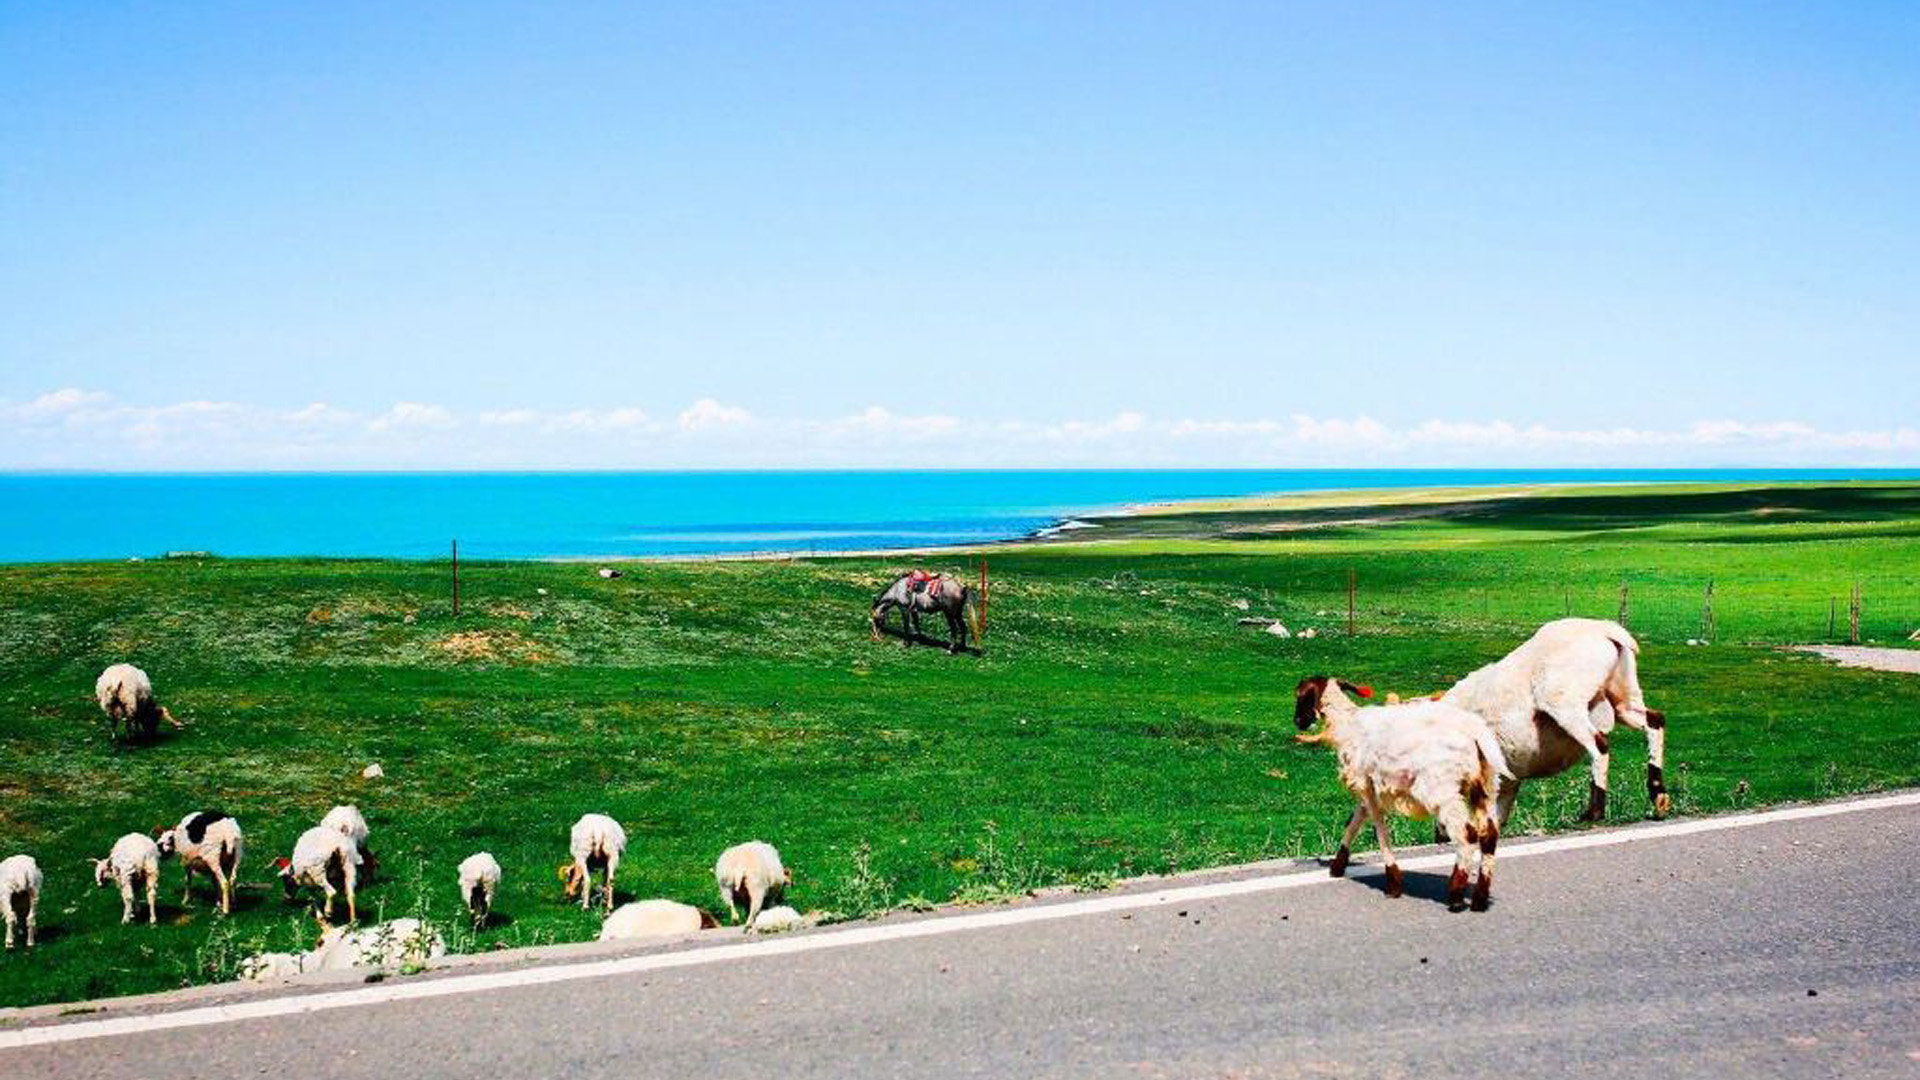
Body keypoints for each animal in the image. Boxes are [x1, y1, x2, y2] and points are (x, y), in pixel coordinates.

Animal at [1297, 672, 1505, 907]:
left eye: (1300, 696)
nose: (1298, 722)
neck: (1346, 724)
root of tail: (1474, 736)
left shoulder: (1366, 785)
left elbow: (1379, 829)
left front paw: (1393, 883)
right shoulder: (1368, 788)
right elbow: (1354, 822)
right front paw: (1337, 866)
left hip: (1443, 790)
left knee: (1467, 834)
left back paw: (1456, 895)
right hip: (1486, 786)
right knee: (1489, 835)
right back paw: (1479, 898)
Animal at [1443, 614, 1666, 822]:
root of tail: (1606, 630)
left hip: (1565, 701)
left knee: (1599, 744)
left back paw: (1594, 812)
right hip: (1622, 696)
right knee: (1654, 721)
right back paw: (1659, 797)